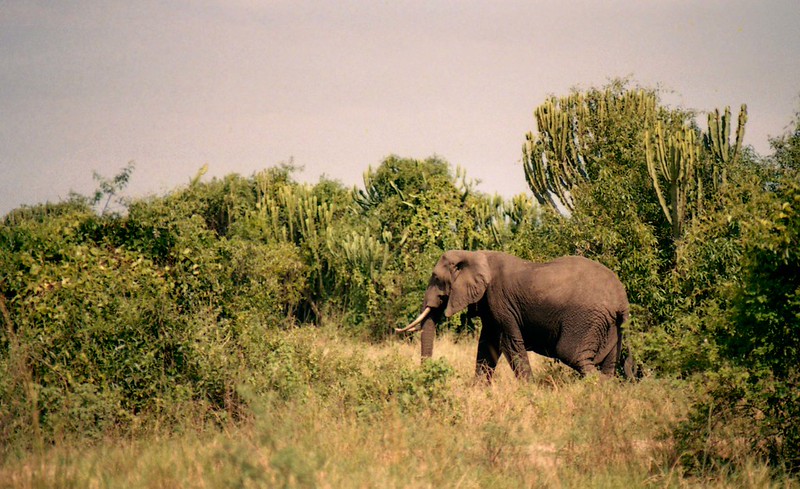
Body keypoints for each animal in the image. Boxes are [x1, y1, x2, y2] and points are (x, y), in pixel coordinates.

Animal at [396, 250, 630, 381]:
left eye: (436, 278)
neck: (473, 254)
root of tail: (621, 300)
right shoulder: (489, 305)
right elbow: (487, 346)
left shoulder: (500, 301)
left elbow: (509, 343)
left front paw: (530, 391)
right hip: (608, 326)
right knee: (608, 365)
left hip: (586, 320)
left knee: (573, 355)